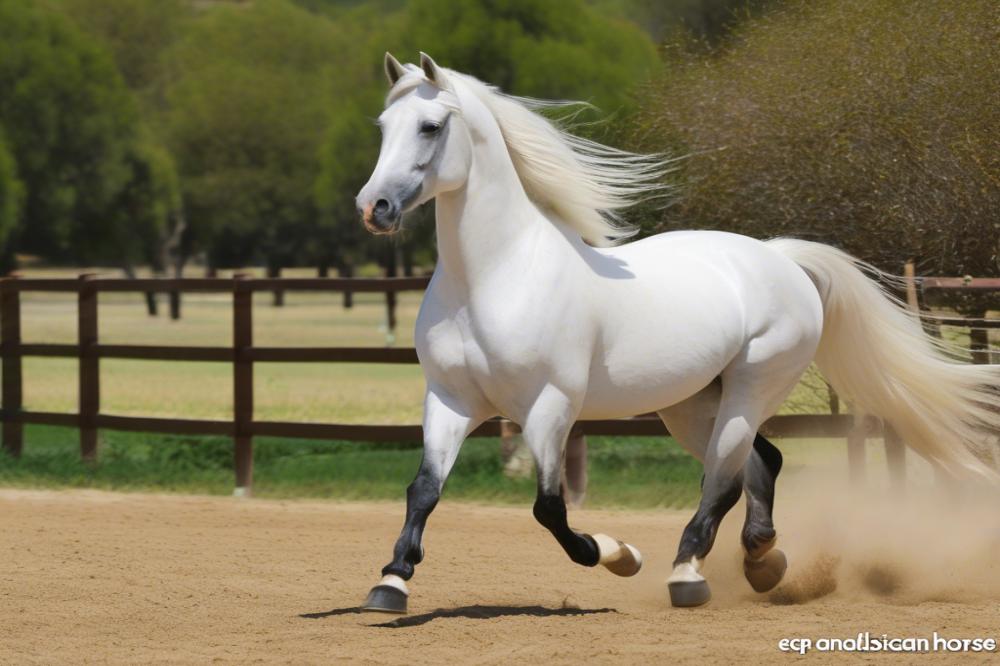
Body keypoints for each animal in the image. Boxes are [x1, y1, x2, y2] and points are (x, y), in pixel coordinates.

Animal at [356, 53, 1000, 612]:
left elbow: (549, 508)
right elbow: (424, 490)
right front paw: (391, 582)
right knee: (760, 463)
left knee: (724, 479)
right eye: (383, 126)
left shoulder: (549, 406)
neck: (495, 276)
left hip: (751, 388)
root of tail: (781, 258)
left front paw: (620, 554)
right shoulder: (450, 400)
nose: (374, 207)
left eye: (431, 126)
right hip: (691, 404)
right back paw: (764, 562)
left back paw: (688, 574)